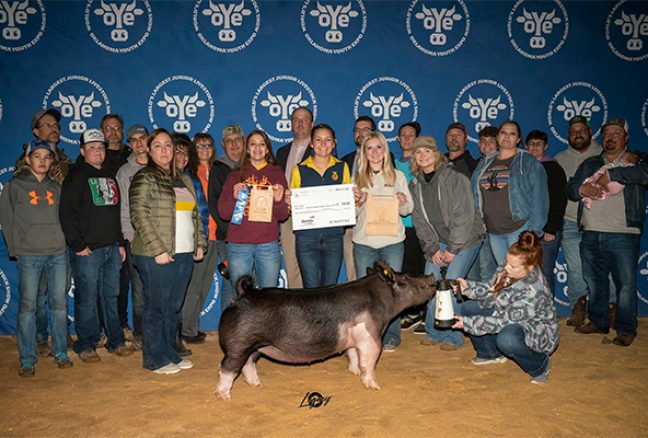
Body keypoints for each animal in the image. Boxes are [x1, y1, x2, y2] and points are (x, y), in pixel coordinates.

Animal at [216, 262, 436, 402]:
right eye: (404, 277)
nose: (432, 275)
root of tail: (244, 293)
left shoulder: (354, 338)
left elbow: (353, 354)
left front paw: (354, 372)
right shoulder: (370, 336)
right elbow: (369, 360)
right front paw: (374, 386)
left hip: (255, 345)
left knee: (248, 364)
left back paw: (257, 384)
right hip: (239, 343)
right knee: (227, 368)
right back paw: (224, 397)